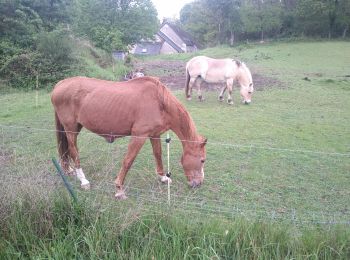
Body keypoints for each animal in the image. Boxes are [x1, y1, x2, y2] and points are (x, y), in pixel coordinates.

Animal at [50, 75, 206, 199]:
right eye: (202, 160)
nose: (199, 184)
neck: (159, 101)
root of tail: (60, 84)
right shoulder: (139, 136)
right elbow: (128, 161)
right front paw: (119, 189)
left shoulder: (154, 135)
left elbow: (158, 155)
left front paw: (163, 178)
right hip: (71, 129)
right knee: (73, 151)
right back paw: (83, 180)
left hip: (74, 128)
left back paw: (69, 170)